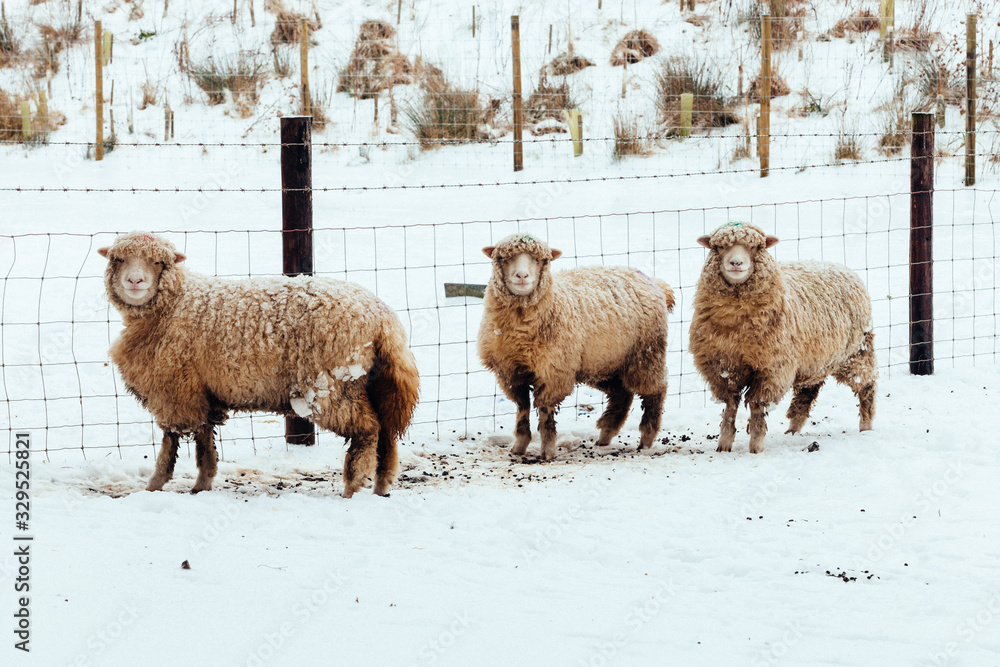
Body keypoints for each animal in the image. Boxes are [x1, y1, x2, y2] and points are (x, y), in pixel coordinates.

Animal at [98, 232, 420, 498]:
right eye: (119, 259)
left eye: (157, 262)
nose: (135, 282)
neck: (175, 303)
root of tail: (383, 319)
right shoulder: (198, 391)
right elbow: (204, 440)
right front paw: (203, 482)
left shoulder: (174, 390)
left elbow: (171, 441)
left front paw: (155, 483)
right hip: (376, 383)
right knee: (387, 431)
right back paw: (382, 485)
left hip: (332, 386)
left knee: (368, 430)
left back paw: (351, 487)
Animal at [477, 233, 675, 460]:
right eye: (502, 258)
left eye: (541, 260)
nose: (522, 276)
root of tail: (654, 282)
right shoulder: (509, 371)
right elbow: (522, 407)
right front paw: (520, 445)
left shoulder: (554, 372)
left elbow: (545, 410)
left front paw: (548, 450)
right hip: (604, 363)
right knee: (621, 395)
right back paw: (605, 435)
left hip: (646, 354)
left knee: (656, 391)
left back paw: (646, 439)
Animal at [688, 222, 876, 454]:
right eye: (719, 247)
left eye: (756, 247)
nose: (735, 263)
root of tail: (840, 266)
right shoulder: (722, 368)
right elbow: (731, 405)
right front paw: (724, 443)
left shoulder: (772, 368)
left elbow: (757, 404)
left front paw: (756, 445)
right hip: (814, 362)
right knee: (806, 394)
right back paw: (793, 430)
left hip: (856, 352)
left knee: (867, 385)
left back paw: (866, 426)